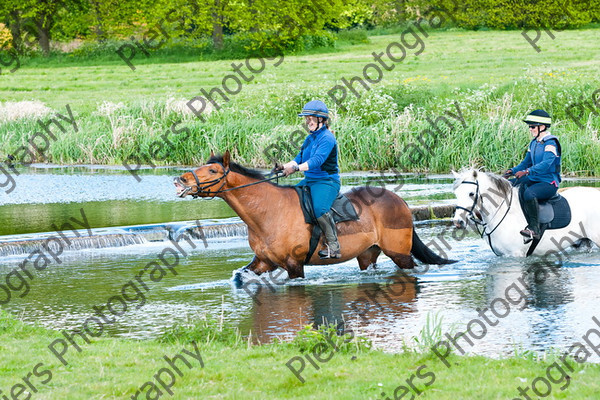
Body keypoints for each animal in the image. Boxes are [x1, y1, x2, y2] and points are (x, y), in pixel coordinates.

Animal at [173, 150, 454, 278]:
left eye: (212, 171)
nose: (180, 180)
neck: (267, 212)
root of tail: (400, 201)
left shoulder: (294, 265)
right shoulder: (263, 262)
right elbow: (240, 276)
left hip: (399, 253)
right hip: (367, 254)